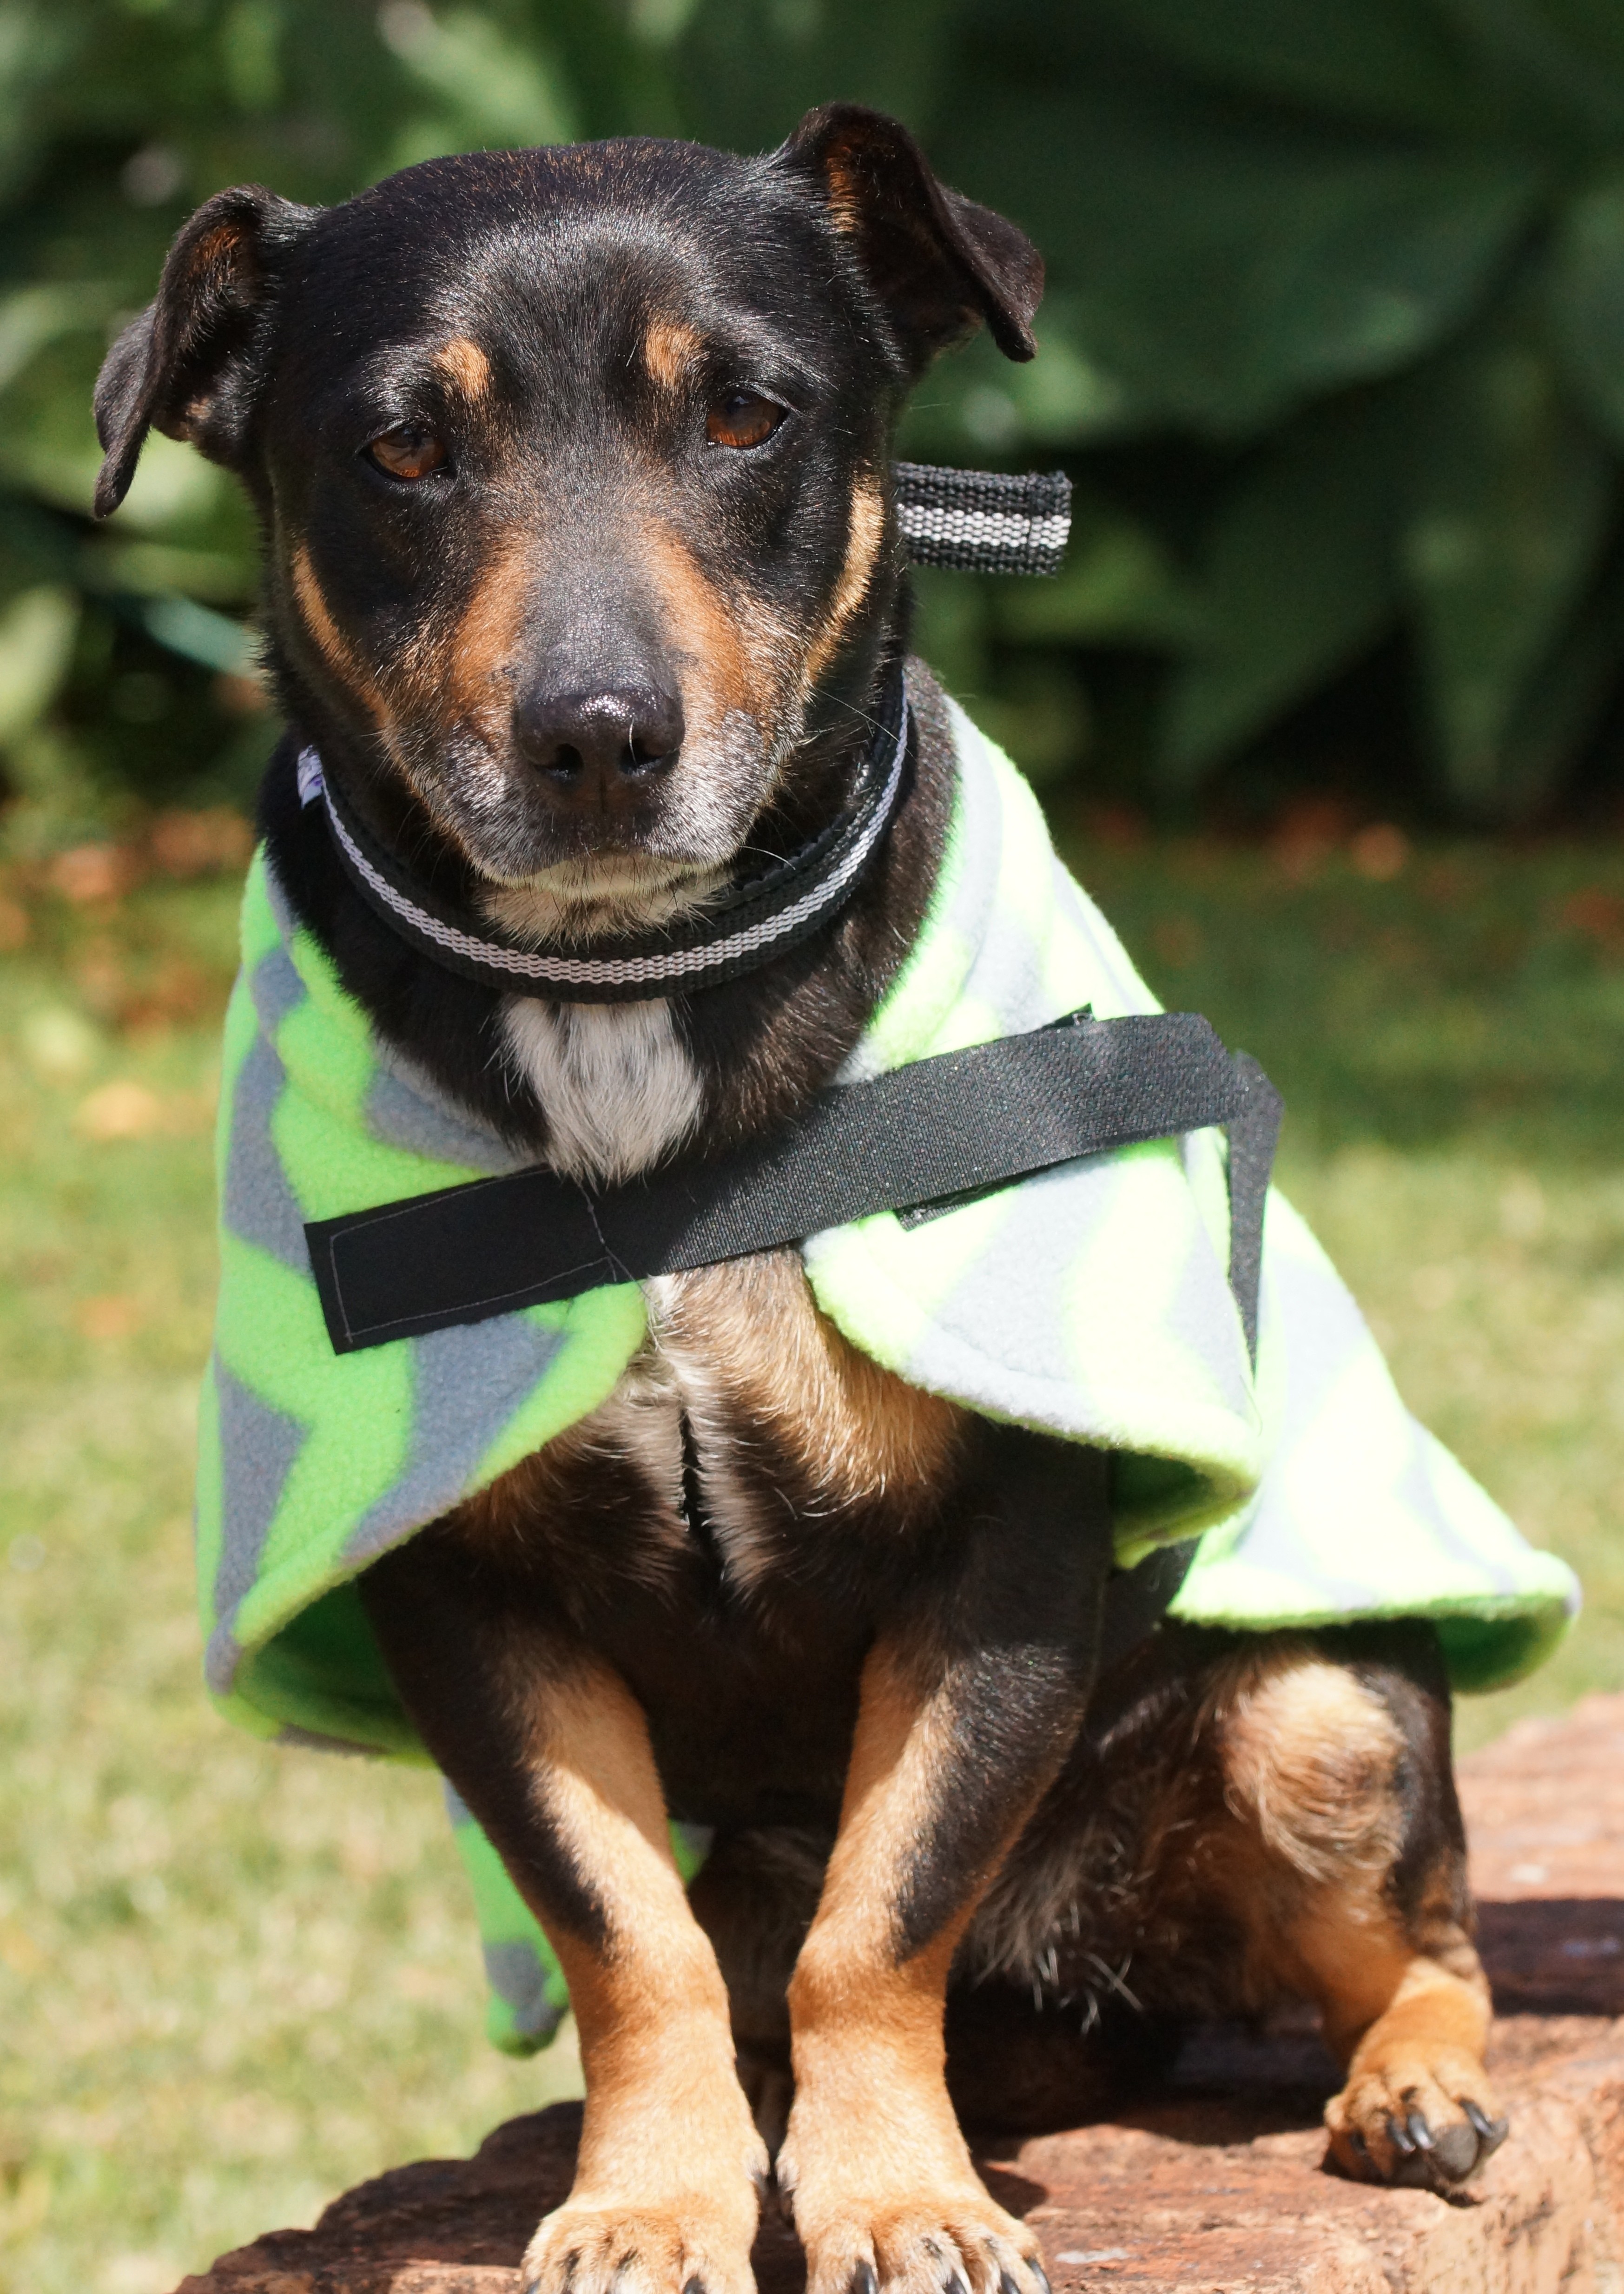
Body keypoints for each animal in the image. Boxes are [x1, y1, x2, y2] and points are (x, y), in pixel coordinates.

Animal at [94, 105, 1508, 2294]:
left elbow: (879, 1915)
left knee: (1428, 1934)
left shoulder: (1007, 1544)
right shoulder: (463, 1590)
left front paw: (900, 2196)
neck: (634, 1004)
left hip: (1321, 1716)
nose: (596, 735)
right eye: (401, 447)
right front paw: (652, 2193)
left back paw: (1409, 2085)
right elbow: (629, 1937)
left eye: (747, 412)